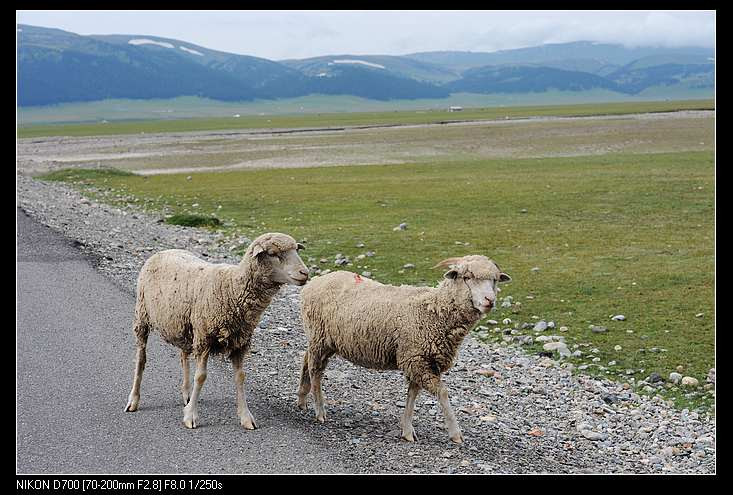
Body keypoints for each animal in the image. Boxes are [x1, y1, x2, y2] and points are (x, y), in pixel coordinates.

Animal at [124, 232, 308, 430]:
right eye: (273, 253)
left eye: (297, 250)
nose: (305, 273)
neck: (232, 288)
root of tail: (164, 251)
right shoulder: (205, 338)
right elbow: (201, 377)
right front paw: (191, 415)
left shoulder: (240, 342)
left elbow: (240, 377)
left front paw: (245, 416)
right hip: (142, 316)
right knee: (141, 359)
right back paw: (133, 400)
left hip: (184, 326)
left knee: (183, 356)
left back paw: (186, 394)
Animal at [298, 256, 508, 446]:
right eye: (467, 277)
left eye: (495, 280)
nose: (489, 300)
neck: (434, 310)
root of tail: (314, 283)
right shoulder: (416, 359)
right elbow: (442, 393)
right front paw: (455, 434)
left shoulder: (420, 360)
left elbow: (412, 395)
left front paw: (407, 430)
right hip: (319, 338)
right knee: (315, 371)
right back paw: (319, 411)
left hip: (325, 341)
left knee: (306, 360)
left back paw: (302, 398)